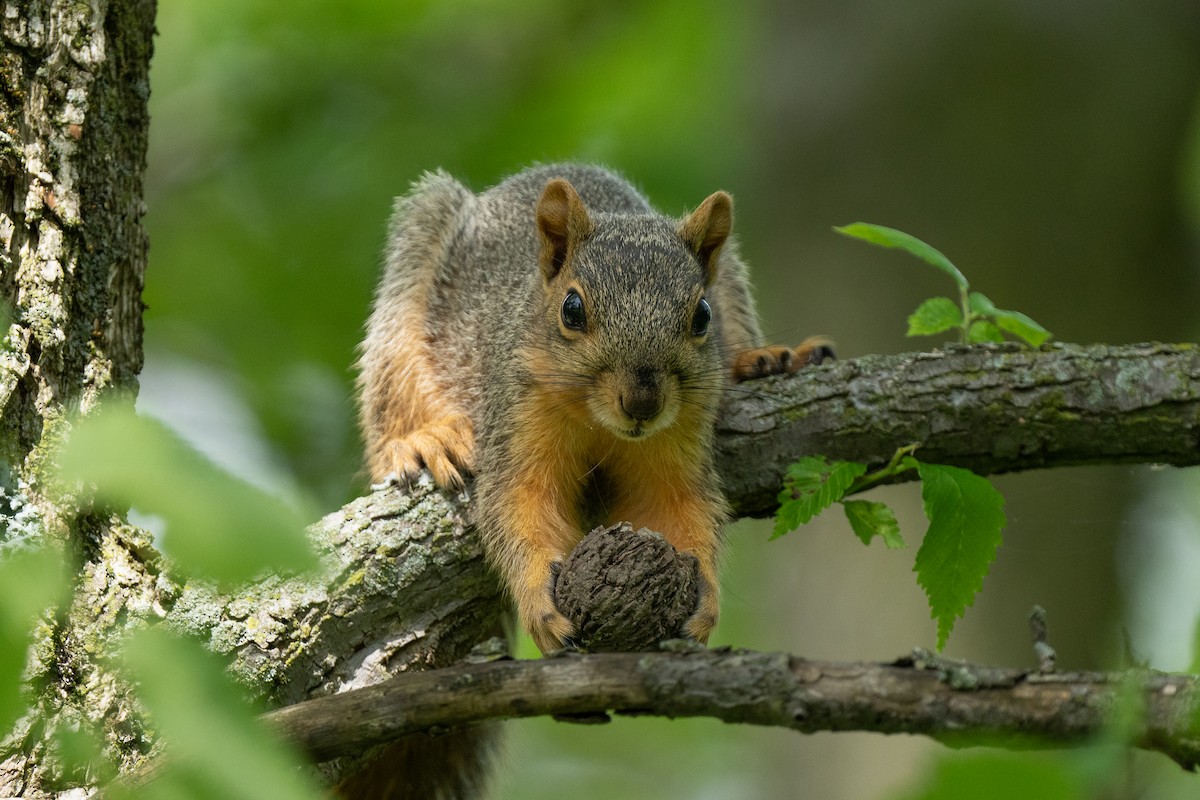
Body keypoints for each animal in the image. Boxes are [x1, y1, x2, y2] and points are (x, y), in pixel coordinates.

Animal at [358, 163, 831, 654]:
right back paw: (424, 439)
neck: (597, 422)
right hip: (411, 276)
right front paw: (538, 597)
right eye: (572, 309)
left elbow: (674, 504)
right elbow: (520, 499)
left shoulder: (681, 433)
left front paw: (705, 596)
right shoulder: (517, 414)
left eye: (702, 315)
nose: (642, 403)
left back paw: (763, 359)